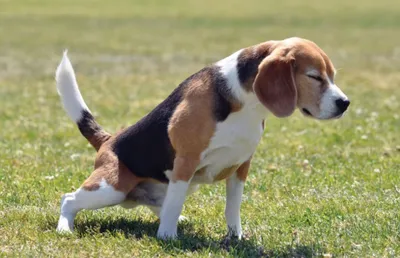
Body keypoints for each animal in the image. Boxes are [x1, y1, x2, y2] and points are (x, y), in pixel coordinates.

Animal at [54, 37, 348, 239]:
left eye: (333, 76)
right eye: (314, 77)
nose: (345, 103)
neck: (247, 103)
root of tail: (108, 140)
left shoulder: (241, 166)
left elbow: (232, 207)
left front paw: (235, 236)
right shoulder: (186, 161)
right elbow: (174, 204)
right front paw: (167, 237)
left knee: (161, 202)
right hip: (111, 188)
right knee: (69, 199)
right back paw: (65, 228)